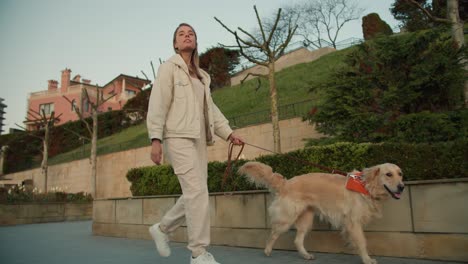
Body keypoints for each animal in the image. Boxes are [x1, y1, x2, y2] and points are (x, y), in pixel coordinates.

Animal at [239, 161, 404, 264]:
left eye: (400, 174)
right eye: (388, 174)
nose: (402, 187)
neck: (366, 186)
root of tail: (286, 183)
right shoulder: (353, 222)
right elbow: (362, 242)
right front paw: (367, 259)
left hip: (306, 220)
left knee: (297, 240)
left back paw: (305, 255)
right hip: (286, 219)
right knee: (273, 233)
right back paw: (267, 251)